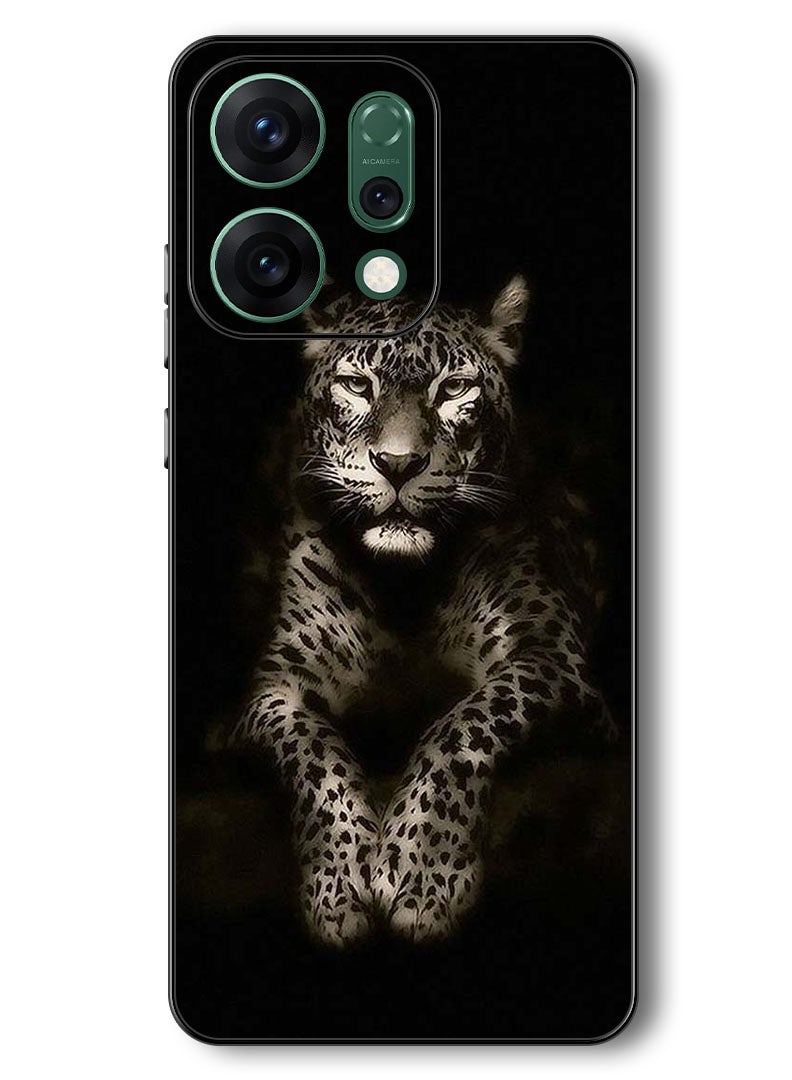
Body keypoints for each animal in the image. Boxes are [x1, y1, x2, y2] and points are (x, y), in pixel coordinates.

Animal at [229, 275, 616, 946]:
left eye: (454, 388)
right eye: (358, 385)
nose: (399, 464)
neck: (404, 588)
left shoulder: (552, 658)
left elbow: (463, 725)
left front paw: (421, 873)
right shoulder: (274, 688)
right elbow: (312, 751)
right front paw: (339, 883)